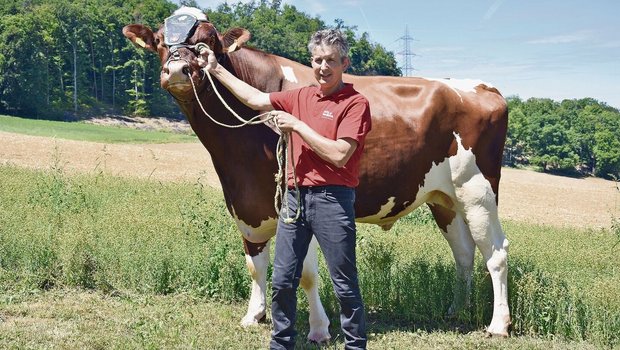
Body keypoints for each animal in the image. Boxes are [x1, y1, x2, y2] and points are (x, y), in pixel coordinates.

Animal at [123, 6, 512, 340]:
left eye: (208, 42)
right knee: (464, 253)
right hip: (444, 198)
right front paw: (254, 315)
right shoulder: (245, 202)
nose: (177, 71)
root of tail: (483, 86)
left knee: (495, 252)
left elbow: (307, 275)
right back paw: (457, 310)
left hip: (477, 189)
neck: (235, 156)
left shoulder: (294, 206)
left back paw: (498, 324)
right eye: (160, 40)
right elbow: (255, 264)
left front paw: (319, 328)